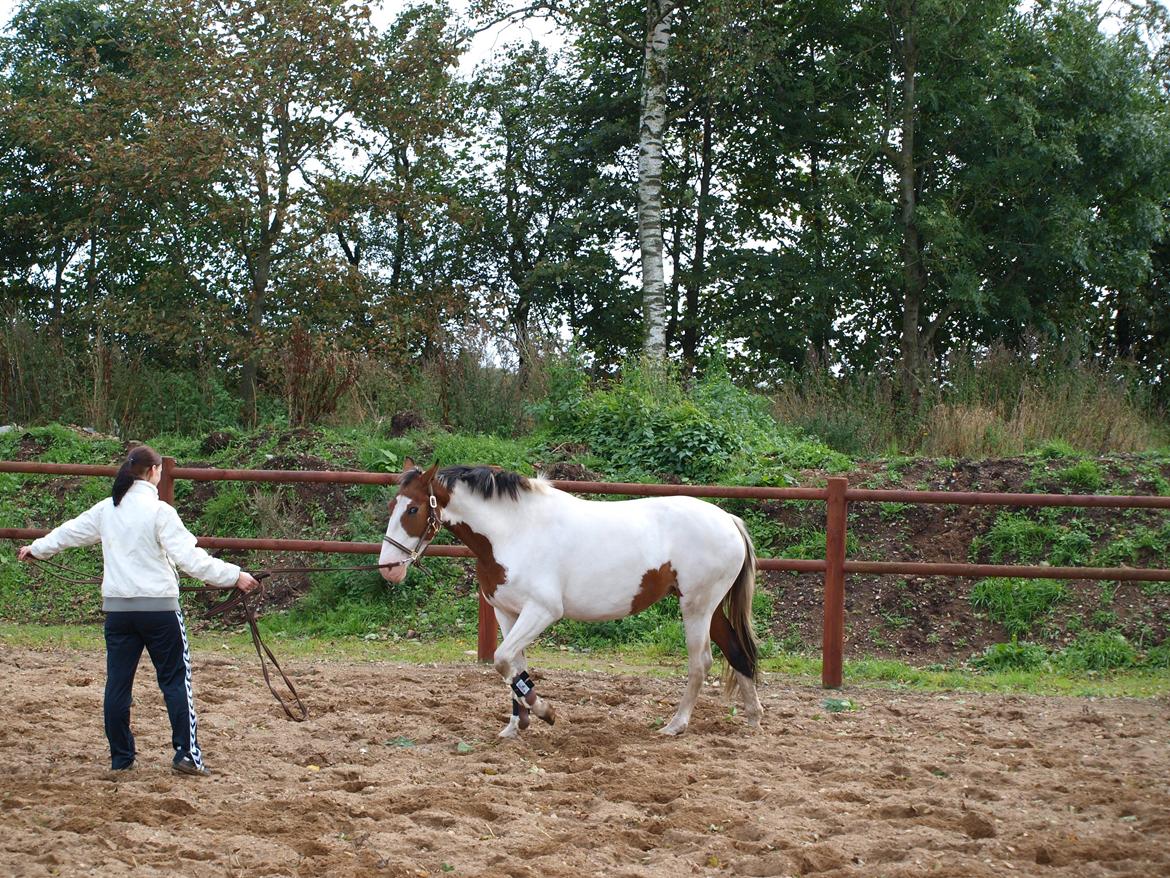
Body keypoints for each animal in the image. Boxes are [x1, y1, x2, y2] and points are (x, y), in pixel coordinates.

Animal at [379, 463, 762, 739]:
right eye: (391, 506)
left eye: (412, 509)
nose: (389, 569)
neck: (515, 531)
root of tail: (729, 520)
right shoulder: (507, 613)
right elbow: (513, 666)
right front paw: (516, 725)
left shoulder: (542, 612)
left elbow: (502, 661)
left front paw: (543, 712)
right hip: (709, 608)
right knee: (736, 651)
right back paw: (753, 719)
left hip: (696, 607)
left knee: (701, 663)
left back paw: (675, 725)